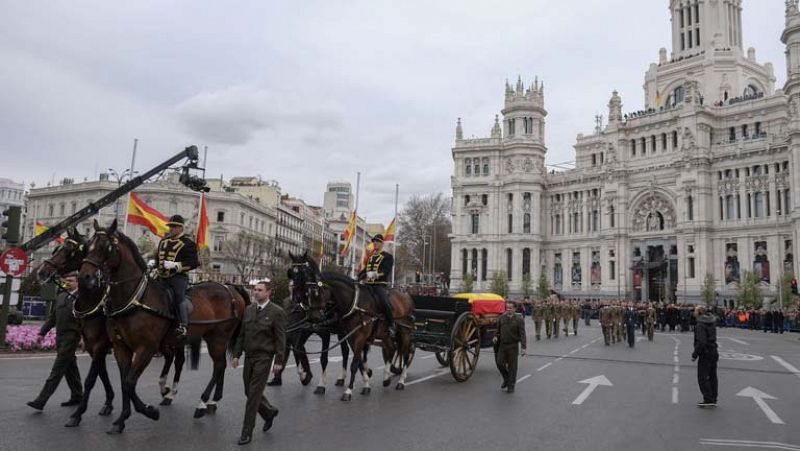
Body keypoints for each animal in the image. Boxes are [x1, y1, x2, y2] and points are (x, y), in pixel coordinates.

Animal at [79, 220, 247, 434]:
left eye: (107, 247)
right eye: (87, 246)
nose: (85, 277)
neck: (135, 298)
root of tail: (230, 287)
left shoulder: (146, 348)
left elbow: (129, 382)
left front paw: (149, 411)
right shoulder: (120, 348)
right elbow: (125, 383)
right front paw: (121, 420)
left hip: (218, 338)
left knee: (219, 366)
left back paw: (202, 403)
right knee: (217, 366)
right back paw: (211, 402)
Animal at [296, 254, 416, 402]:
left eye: (318, 293)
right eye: (308, 293)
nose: (314, 317)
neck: (354, 303)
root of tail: (406, 295)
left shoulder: (358, 336)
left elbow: (353, 363)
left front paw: (348, 391)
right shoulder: (350, 336)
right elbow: (357, 361)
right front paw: (366, 383)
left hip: (405, 332)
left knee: (405, 353)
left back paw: (401, 381)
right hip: (385, 334)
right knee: (392, 349)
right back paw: (386, 378)